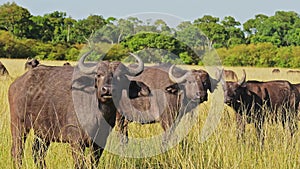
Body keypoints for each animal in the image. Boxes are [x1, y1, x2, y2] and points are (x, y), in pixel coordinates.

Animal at [8, 50, 145, 168]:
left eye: (120, 76)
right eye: (99, 75)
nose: (108, 90)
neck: (99, 115)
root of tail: (16, 84)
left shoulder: (100, 143)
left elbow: (93, 163)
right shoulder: (76, 142)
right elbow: (80, 164)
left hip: (42, 132)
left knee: (38, 153)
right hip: (19, 124)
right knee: (17, 151)